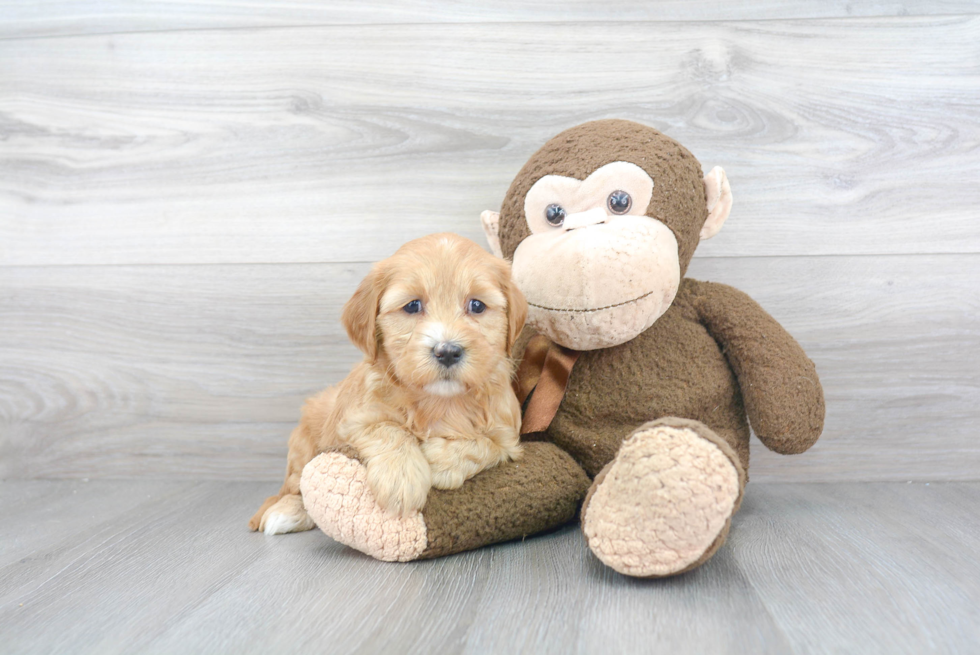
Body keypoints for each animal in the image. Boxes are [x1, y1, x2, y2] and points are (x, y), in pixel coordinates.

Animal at [251, 233, 528, 536]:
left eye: (477, 305)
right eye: (412, 306)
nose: (447, 351)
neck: (440, 402)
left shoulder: (508, 433)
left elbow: (486, 445)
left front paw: (438, 460)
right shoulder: (356, 417)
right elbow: (387, 428)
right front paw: (401, 478)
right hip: (303, 442)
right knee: (294, 485)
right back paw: (286, 512)